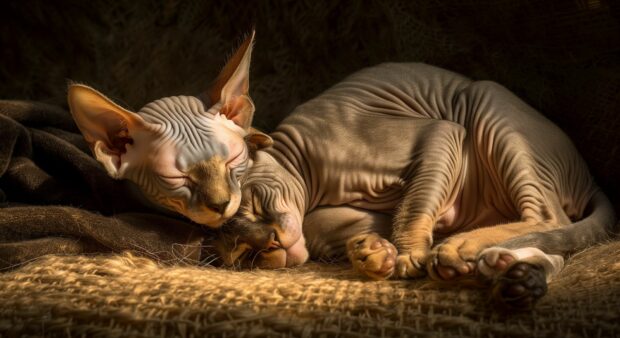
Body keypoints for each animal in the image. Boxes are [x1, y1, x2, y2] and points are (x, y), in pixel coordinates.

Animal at [212, 62, 616, 308]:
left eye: (253, 206)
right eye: (244, 254)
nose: (272, 244)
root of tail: (590, 177)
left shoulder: (442, 135)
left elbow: (412, 205)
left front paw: (406, 253)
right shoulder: (321, 225)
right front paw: (374, 252)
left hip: (489, 104)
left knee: (550, 218)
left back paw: (466, 250)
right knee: (556, 242)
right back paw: (505, 270)